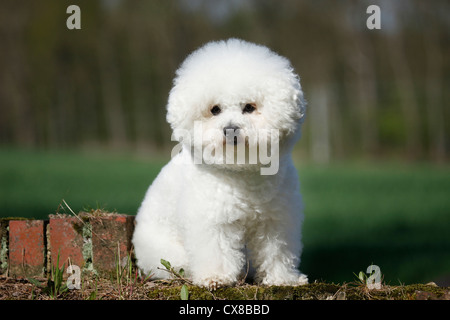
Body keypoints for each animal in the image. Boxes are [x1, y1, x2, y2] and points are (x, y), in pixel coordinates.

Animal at [133, 38, 310, 288]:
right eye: (215, 109)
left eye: (249, 107)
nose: (230, 129)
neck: (242, 172)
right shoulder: (213, 221)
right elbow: (216, 251)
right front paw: (215, 277)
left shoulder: (275, 221)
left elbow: (276, 251)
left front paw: (283, 279)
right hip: (170, 255)